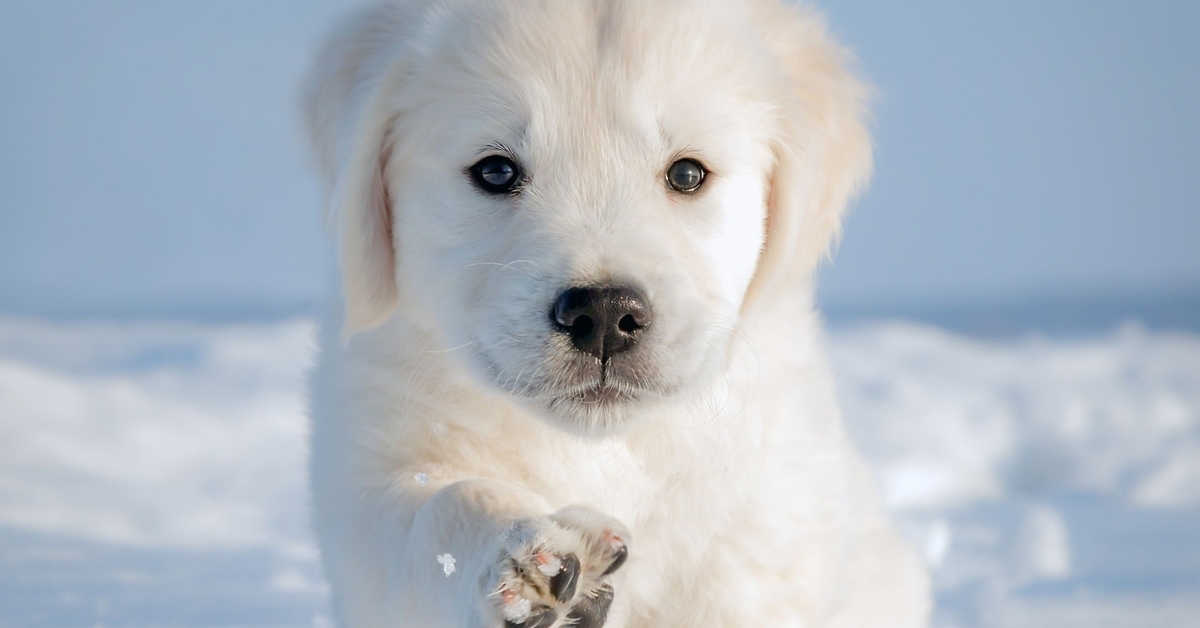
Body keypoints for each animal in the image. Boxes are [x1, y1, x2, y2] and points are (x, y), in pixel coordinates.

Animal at [304, 1, 931, 628]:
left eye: (687, 174)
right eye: (496, 172)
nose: (604, 315)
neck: (605, 448)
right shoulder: (364, 467)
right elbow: (433, 508)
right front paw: (529, 556)